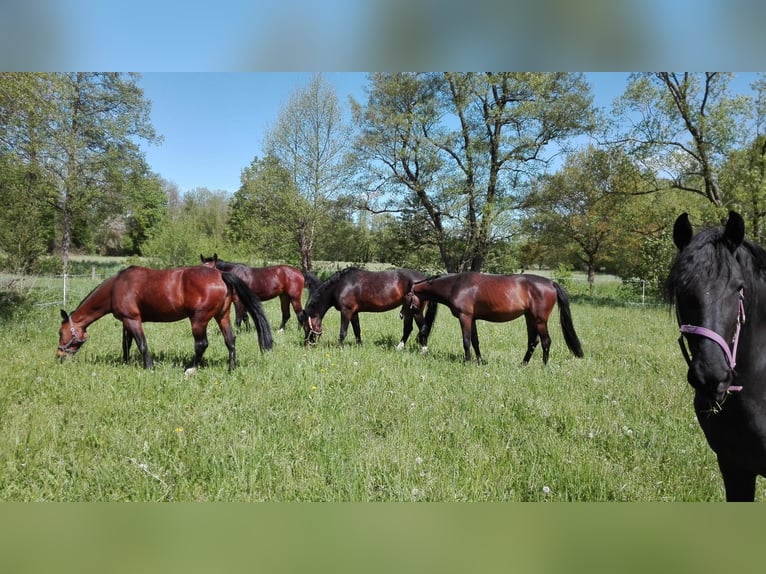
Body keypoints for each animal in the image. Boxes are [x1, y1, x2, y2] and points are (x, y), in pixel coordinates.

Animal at [57, 265, 273, 373]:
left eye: (60, 333)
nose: (59, 356)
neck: (116, 287)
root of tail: (221, 274)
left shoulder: (132, 320)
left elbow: (141, 344)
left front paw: (149, 367)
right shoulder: (126, 321)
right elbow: (126, 343)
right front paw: (125, 362)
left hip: (199, 319)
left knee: (201, 344)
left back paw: (190, 369)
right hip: (222, 316)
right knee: (230, 340)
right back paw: (231, 368)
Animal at [296, 267, 438, 349]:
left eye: (306, 327)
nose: (307, 345)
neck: (341, 285)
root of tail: (426, 279)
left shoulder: (346, 311)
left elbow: (343, 332)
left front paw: (340, 348)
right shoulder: (354, 313)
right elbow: (357, 330)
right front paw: (359, 346)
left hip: (416, 311)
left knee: (423, 327)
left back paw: (423, 350)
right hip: (408, 310)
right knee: (408, 329)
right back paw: (399, 347)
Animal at [406, 272, 583, 365]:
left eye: (407, 297)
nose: (402, 315)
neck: (456, 285)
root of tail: (551, 283)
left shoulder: (465, 317)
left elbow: (466, 341)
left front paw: (467, 361)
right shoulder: (472, 319)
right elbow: (475, 341)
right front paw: (479, 361)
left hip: (539, 320)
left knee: (546, 341)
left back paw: (544, 365)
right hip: (530, 318)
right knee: (533, 342)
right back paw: (523, 364)